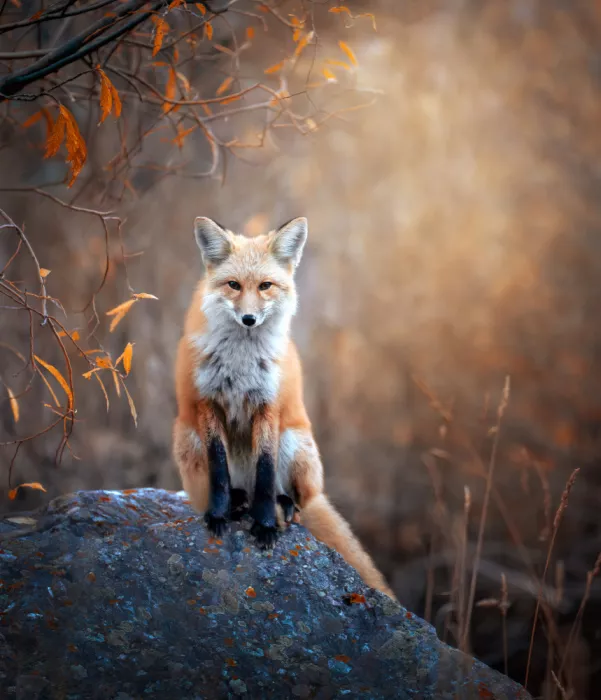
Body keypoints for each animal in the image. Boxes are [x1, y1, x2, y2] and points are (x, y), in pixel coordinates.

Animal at [172, 216, 395, 599]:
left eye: (265, 286)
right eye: (233, 285)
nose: (248, 319)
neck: (241, 360)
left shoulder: (268, 404)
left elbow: (265, 468)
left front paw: (264, 526)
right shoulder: (207, 402)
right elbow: (219, 470)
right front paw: (218, 515)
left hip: (294, 444)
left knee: (297, 500)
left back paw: (283, 507)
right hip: (187, 438)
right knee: (229, 487)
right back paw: (237, 502)